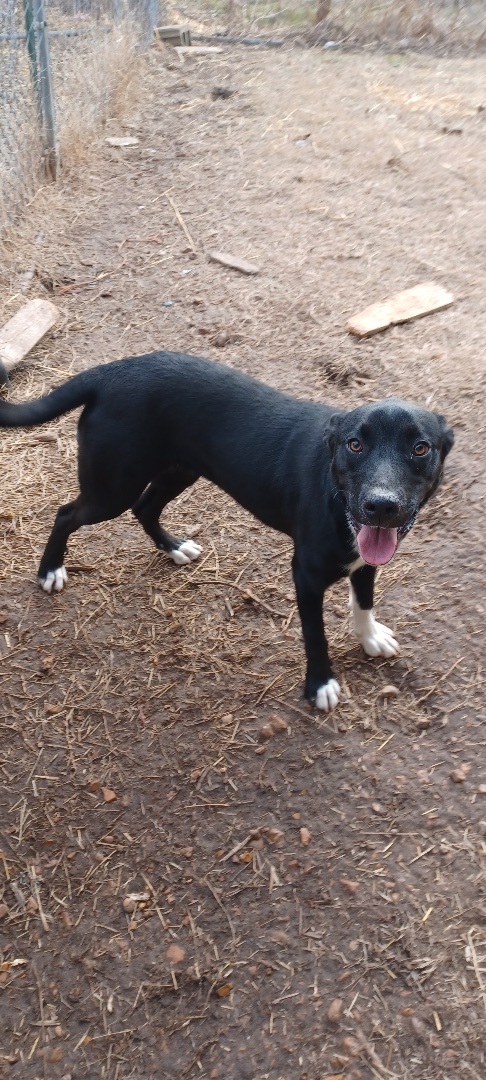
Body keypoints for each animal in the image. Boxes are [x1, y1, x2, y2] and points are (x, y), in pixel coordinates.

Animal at [0, 349, 451, 712]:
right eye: (355, 445)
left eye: (420, 448)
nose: (382, 506)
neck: (336, 495)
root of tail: (113, 371)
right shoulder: (306, 576)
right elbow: (316, 634)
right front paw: (320, 684)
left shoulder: (366, 559)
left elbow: (364, 601)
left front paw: (370, 637)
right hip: (113, 487)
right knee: (66, 514)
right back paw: (50, 570)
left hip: (180, 470)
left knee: (145, 508)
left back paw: (174, 547)